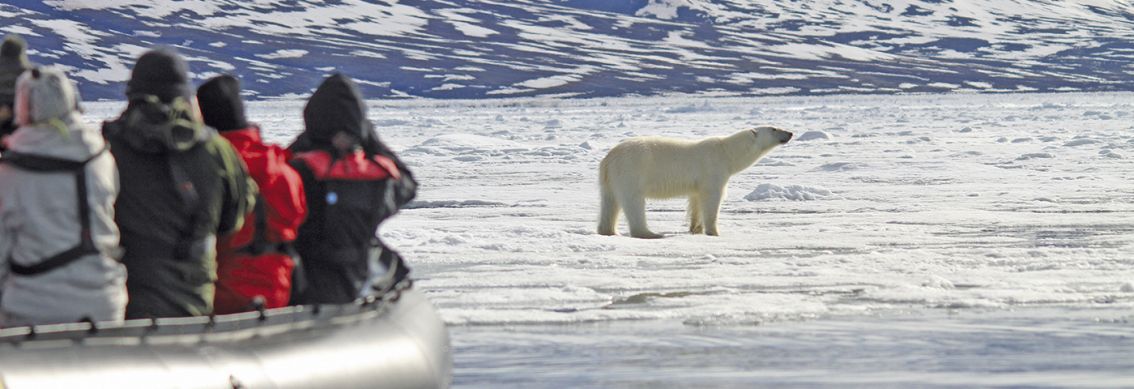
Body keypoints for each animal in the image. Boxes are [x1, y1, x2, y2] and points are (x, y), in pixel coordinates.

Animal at [598, 126, 793, 239]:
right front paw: (714, 232)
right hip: (632, 170)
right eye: (774, 128)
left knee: (609, 202)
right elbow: (712, 199)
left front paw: (696, 229)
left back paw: (608, 231)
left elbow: (696, 200)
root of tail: (609, 158)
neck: (727, 152)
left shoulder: (698, 182)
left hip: (610, 179)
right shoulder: (713, 169)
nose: (790, 133)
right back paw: (649, 233)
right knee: (633, 201)